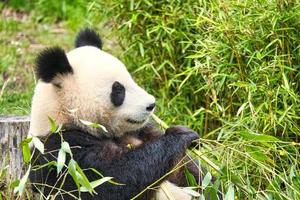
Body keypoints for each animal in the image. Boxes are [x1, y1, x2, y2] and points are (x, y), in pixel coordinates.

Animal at [28, 28, 202, 200]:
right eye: (118, 89)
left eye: (131, 79)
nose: (151, 105)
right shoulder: (62, 151)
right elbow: (113, 180)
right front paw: (181, 135)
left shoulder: (141, 132)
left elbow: (189, 172)